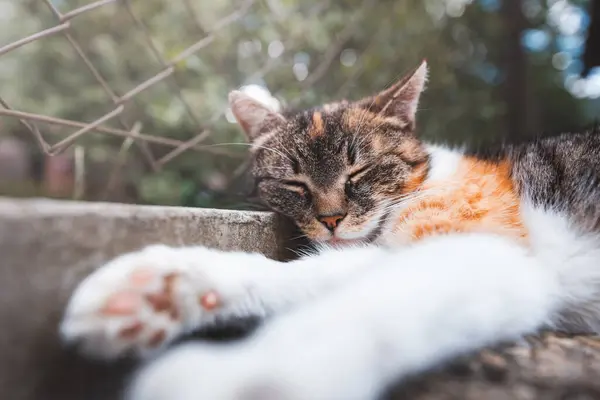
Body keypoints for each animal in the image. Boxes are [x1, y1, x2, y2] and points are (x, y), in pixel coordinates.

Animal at [57, 60, 600, 400]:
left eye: (359, 172)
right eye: (293, 183)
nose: (333, 218)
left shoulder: (485, 250)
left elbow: (364, 308)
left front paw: (243, 378)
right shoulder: (387, 252)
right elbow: (302, 275)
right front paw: (161, 289)